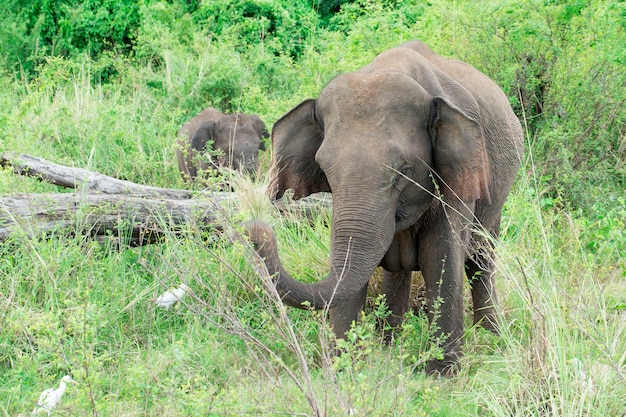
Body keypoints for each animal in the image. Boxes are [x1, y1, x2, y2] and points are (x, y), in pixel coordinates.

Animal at [244, 41, 520, 374]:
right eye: (324, 167)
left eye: (403, 170)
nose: (254, 229)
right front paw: (343, 370)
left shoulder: (456, 181)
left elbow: (441, 258)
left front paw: (441, 375)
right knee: (398, 270)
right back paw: (391, 345)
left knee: (481, 259)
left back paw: (492, 338)